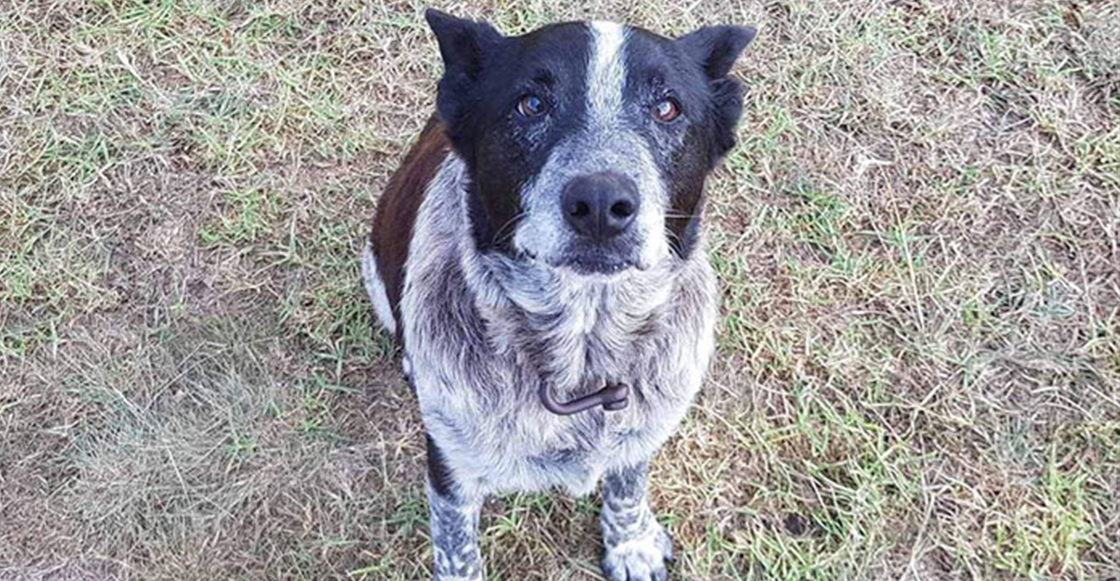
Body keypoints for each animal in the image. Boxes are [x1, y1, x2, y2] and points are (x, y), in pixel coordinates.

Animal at [362, 10, 757, 581]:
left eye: (667, 107)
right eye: (531, 104)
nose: (601, 203)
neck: (582, 352)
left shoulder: (641, 430)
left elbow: (627, 485)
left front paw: (630, 544)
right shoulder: (452, 467)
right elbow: (457, 548)